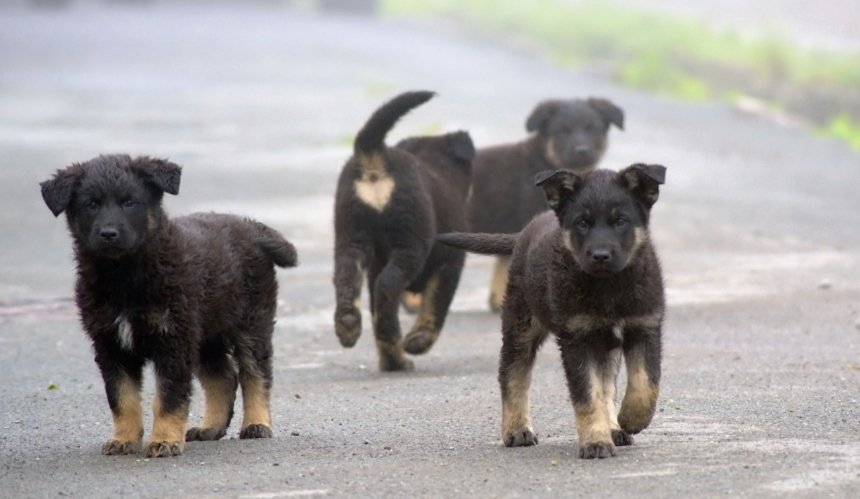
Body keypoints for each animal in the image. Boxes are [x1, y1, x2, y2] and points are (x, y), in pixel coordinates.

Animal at [40, 155, 298, 458]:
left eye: (130, 202)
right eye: (91, 204)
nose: (109, 234)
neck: (124, 276)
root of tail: (251, 226)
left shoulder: (172, 340)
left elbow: (168, 396)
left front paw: (164, 440)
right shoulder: (110, 345)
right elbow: (122, 398)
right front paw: (124, 439)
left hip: (250, 322)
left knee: (256, 373)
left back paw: (257, 423)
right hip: (205, 334)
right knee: (223, 377)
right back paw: (210, 427)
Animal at [330, 91, 474, 372]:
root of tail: (375, 155)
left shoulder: (374, 265)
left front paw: (392, 361)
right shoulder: (451, 264)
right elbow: (435, 306)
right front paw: (418, 342)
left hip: (350, 236)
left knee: (348, 278)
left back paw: (349, 325)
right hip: (410, 243)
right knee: (388, 287)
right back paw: (392, 332)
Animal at [436, 165, 664, 460]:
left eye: (621, 221)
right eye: (582, 222)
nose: (600, 255)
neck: (608, 287)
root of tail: (523, 233)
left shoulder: (645, 327)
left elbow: (645, 383)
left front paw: (630, 420)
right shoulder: (576, 338)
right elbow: (587, 396)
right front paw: (595, 442)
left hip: (603, 345)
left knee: (607, 384)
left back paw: (614, 427)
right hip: (521, 325)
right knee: (512, 374)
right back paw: (517, 429)